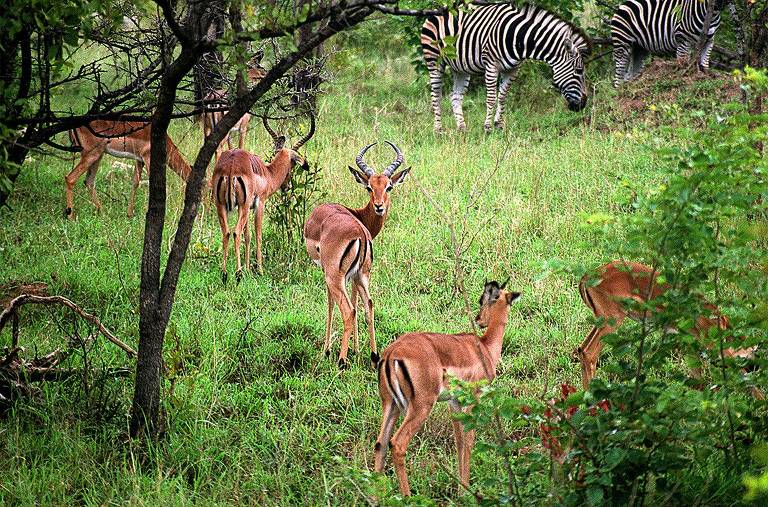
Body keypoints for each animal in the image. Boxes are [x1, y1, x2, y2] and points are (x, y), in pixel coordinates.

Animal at [424, 2, 592, 133]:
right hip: (434, 59)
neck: (519, 39)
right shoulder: (491, 66)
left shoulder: (512, 69)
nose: (583, 104)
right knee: (435, 95)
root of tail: (440, 9)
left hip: (460, 68)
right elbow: (491, 98)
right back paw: (438, 130)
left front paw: (499, 125)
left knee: (455, 96)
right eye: (579, 71)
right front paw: (487, 128)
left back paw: (462, 129)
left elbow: (503, 96)